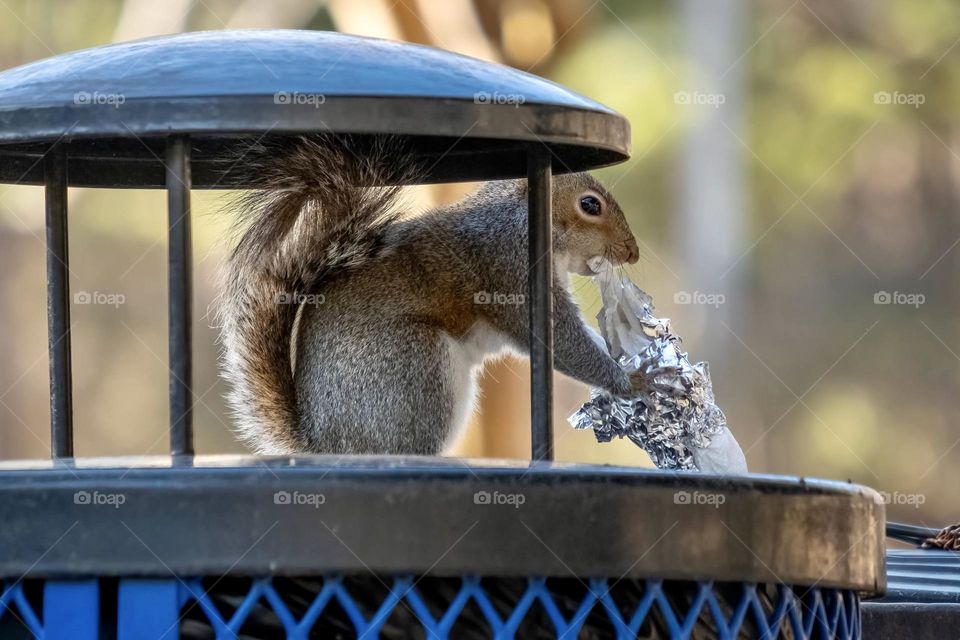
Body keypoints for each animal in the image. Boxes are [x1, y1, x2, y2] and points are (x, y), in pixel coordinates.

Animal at [218, 135, 652, 456]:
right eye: (589, 205)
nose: (633, 253)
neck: (520, 219)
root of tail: (325, 445)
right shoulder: (512, 270)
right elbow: (560, 340)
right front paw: (631, 381)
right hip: (414, 368)